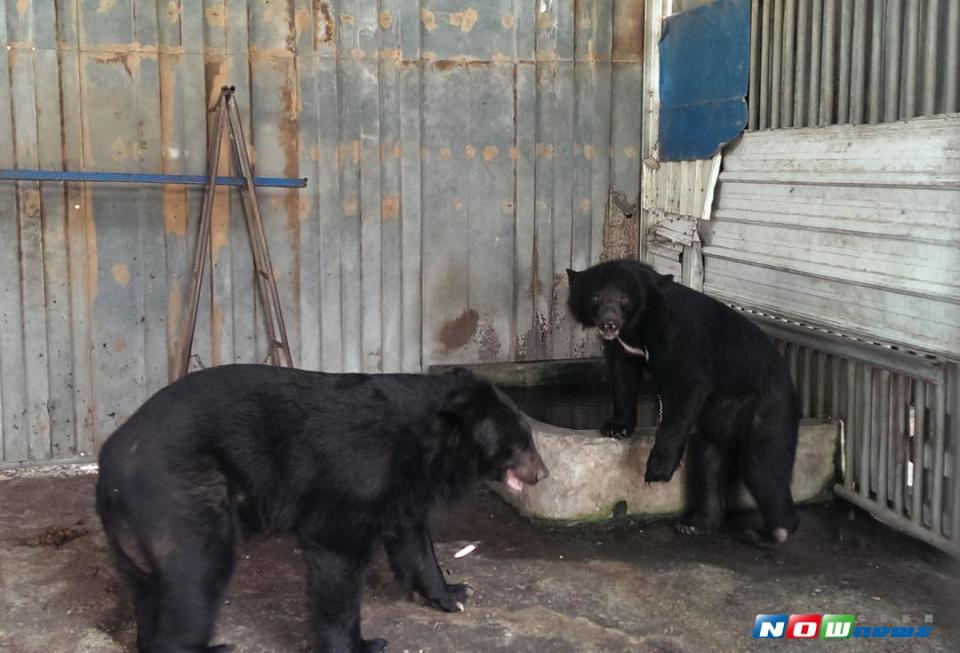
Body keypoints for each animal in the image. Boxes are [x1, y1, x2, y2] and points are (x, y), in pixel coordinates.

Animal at [97, 364, 552, 648]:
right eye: (520, 445)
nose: (544, 474)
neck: (431, 445)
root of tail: (109, 463)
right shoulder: (356, 477)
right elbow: (338, 558)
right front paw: (362, 644)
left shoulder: (404, 489)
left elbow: (413, 540)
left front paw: (453, 594)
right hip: (183, 497)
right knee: (195, 578)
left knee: (150, 588)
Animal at [568, 258, 800, 544]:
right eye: (595, 297)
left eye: (624, 298)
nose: (609, 323)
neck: (639, 325)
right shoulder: (627, 347)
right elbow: (623, 375)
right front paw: (616, 427)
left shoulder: (680, 337)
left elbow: (688, 386)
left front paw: (656, 471)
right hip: (720, 415)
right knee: (710, 460)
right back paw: (697, 523)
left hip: (768, 408)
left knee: (764, 465)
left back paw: (772, 532)